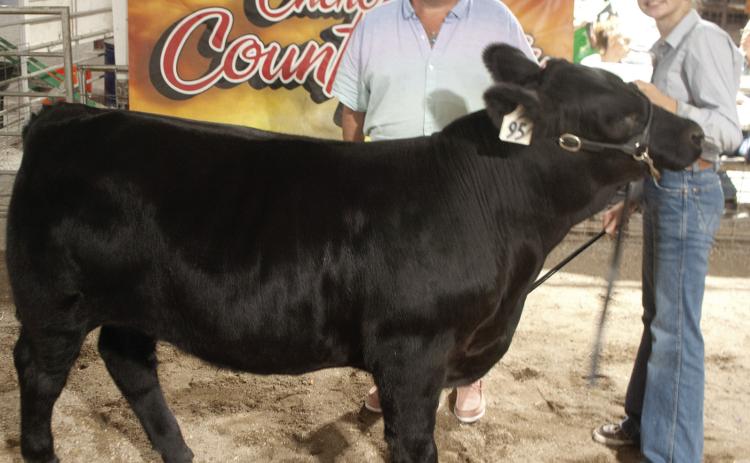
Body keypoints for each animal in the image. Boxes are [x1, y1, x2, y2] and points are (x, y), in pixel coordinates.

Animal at [6, 44, 702, 463]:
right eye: (620, 117)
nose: (695, 133)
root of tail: (65, 117)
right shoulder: (412, 350)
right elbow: (414, 443)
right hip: (53, 301)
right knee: (39, 371)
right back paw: (43, 451)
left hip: (134, 300)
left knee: (129, 363)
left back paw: (179, 452)